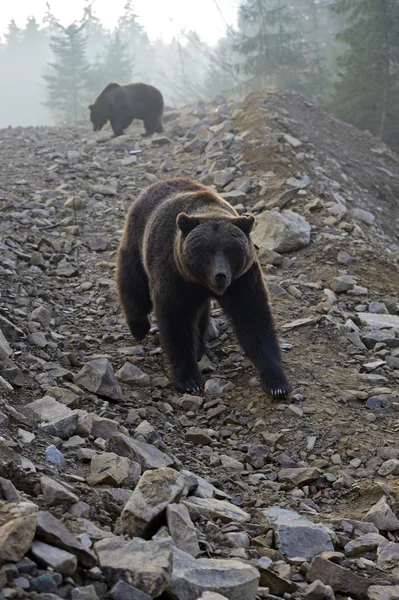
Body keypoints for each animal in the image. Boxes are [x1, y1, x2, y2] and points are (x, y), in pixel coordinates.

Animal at [115, 176, 290, 398]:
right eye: (206, 250)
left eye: (230, 249)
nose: (220, 275)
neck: (202, 282)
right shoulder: (174, 274)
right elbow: (176, 321)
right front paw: (189, 380)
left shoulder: (242, 279)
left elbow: (254, 319)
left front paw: (276, 383)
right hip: (137, 239)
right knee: (134, 284)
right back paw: (139, 326)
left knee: (200, 314)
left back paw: (201, 347)